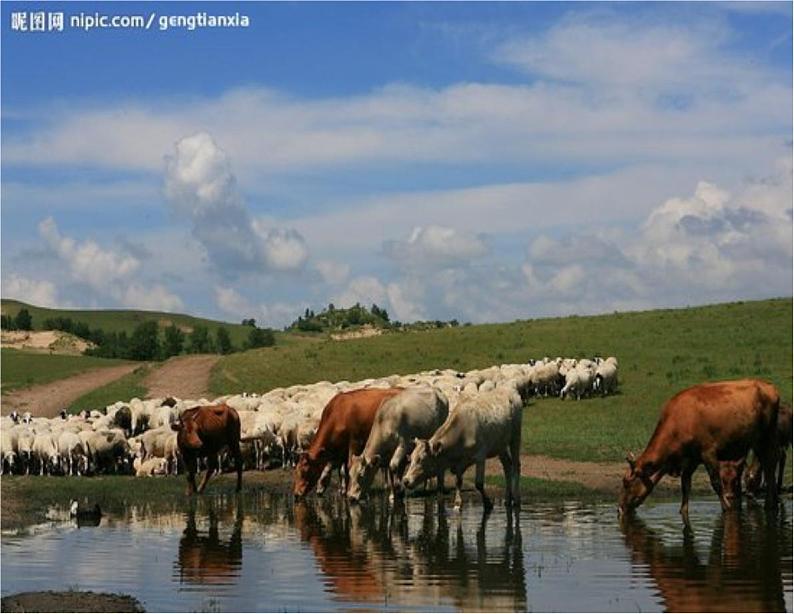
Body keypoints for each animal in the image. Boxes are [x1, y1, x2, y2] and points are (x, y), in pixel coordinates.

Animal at [616, 380, 776, 524]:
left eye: (626, 483)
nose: (619, 509)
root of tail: (768, 386)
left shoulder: (708, 453)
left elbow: (716, 483)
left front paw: (726, 507)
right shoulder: (691, 459)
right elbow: (685, 485)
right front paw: (683, 510)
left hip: (767, 439)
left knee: (770, 469)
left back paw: (770, 504)